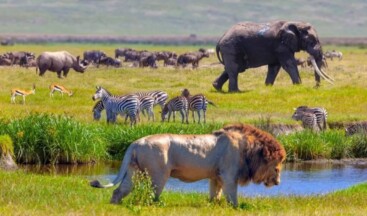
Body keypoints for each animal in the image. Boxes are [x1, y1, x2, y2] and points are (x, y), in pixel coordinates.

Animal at [91, 123, 288, 206]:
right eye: (277, 167)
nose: (278, 182)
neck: (249, 150)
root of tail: (136, 142)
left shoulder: (216, 176)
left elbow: (215, 194)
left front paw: (213, 205)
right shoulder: (229, 175)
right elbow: (232, 196)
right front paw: (236, 208)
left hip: (134, 172)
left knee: (119, 190)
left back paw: (114, 205)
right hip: (158, 174)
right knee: (152, 195)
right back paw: (156, 205)